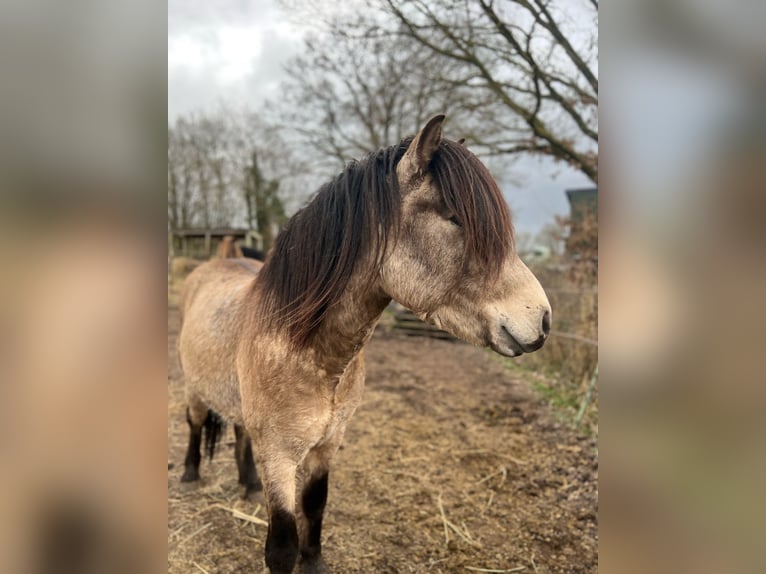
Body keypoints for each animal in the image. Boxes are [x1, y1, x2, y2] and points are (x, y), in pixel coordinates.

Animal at [178, 115, 552, 573]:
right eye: (453, 217)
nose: (542, 318)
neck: (310, 354)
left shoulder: (327, 444)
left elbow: (315, 508)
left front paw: (314, 563)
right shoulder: (281, 456)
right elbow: (281, 546)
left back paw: (247, 483)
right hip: (194, 390)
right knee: (195, 424)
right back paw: (190, 474)